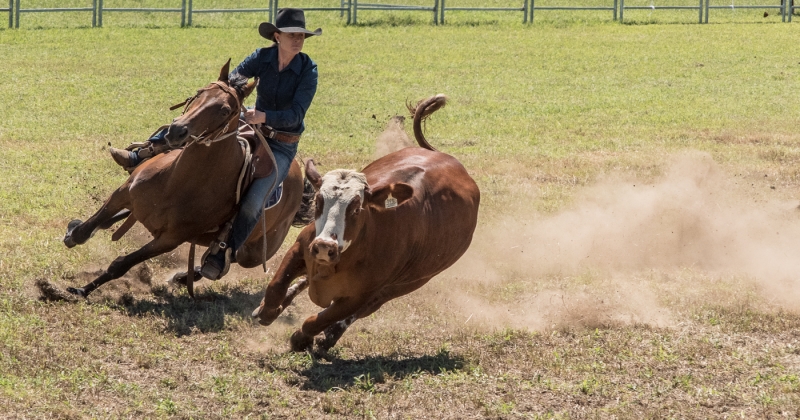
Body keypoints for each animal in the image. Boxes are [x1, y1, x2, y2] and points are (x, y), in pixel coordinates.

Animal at [56, 60, 310, 298]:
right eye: (200, 93)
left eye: (225, 110)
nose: (177, 130)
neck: (177, 183)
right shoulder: (123, 193)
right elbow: (88, 228)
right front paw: (73, 235)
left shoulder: (170, 239)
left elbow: (120, 265)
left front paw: (81, 290)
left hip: (256, 253)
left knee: (228, 258)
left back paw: (186, 276)